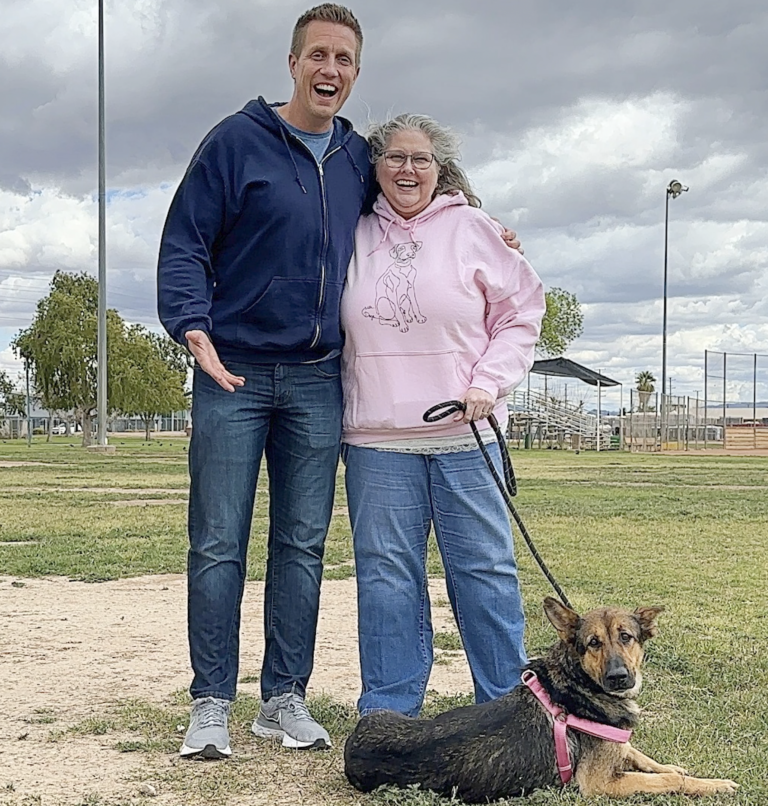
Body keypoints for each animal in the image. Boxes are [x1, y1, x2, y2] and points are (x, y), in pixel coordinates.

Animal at [344, 600, 736, 800]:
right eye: (593, 643)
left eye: (626, 637)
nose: (619, 678)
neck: (579, 682)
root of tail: (351, 748)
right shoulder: (599, 784)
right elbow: (667, 780)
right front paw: (713, 784)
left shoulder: (617, 750)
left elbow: (642, 756)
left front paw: (673, 766)